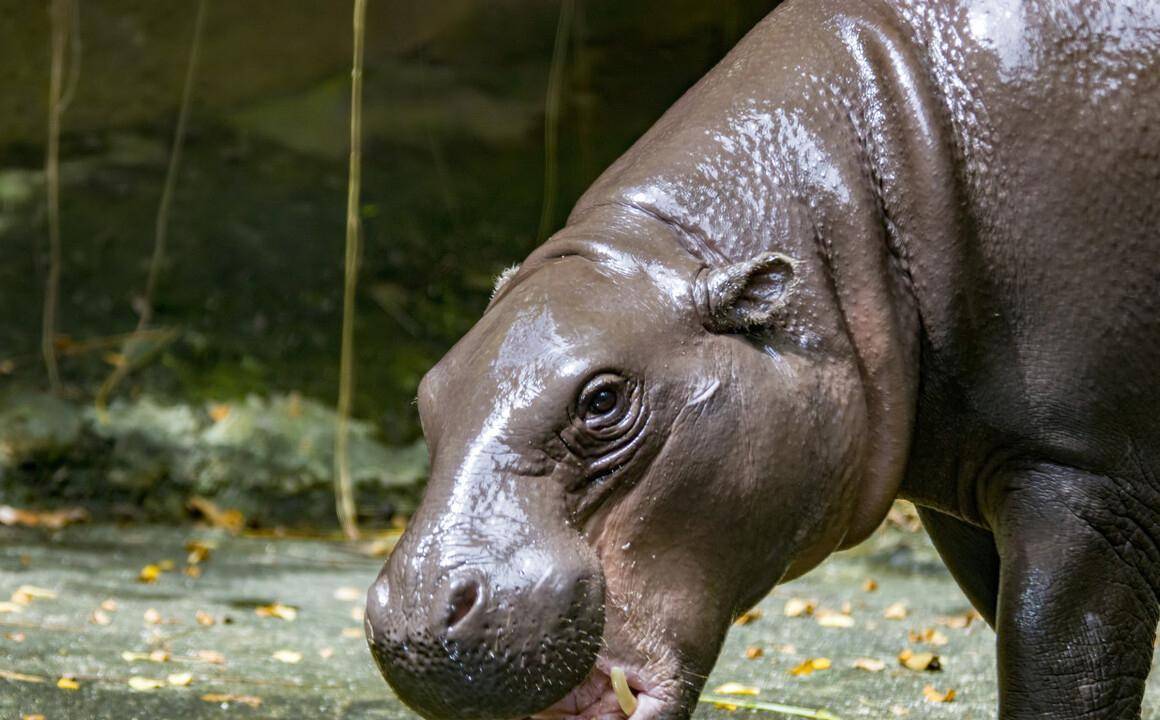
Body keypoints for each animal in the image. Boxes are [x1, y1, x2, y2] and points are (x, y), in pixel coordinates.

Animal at [364, 0, 1160, 714]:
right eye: (429, 395)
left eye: (603, 401)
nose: (415, 616)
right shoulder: (971, 498)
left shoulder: (1085, 481)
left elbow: (1062, 670)